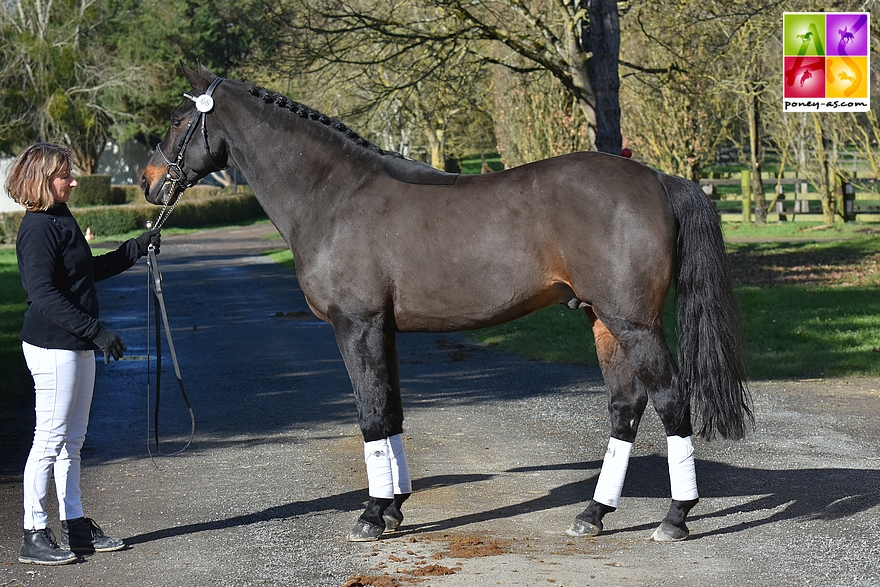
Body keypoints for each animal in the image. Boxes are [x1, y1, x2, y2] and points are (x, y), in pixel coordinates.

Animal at [141, 62, 752, 543]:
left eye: (176, 120)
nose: (148, 183)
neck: (334, 195)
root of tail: (657, 178)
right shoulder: (382, 330)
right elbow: (390, 411)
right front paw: (393, 508)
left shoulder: (355, 325)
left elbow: (369, 414)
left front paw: (371, 515)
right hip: (603, 320)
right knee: (625, 407)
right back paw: (593, 514)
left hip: (634, 322)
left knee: (671, 400)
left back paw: (675, 517)